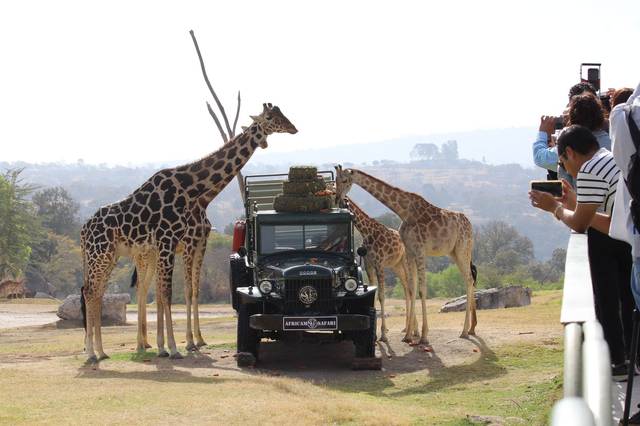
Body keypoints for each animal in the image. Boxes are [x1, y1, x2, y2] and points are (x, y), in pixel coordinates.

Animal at [80, 104, 298, 362]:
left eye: (283, 114)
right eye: (271, 117)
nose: (294, 128)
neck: (192, 192)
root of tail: (83, 230)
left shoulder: (185, 244)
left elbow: (181, 291)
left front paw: (176, 344)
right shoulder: (172, 242)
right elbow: (169, 292)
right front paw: (175, 347)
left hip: (112, 256)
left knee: (100, 291)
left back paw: (104, 351)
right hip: (103, 254)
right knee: (92, 291)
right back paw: (93, 352)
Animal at [342, 196, 418, 342]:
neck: (367, 233)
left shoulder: (379, 264)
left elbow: (382, 296)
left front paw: (383, 334)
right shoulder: (369, 265)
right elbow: (373, 292)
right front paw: (377, 334)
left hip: (405, 262)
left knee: (411, 288)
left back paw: (414, 331)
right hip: (396, 266)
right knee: (406, 288)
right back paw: (407, 328)